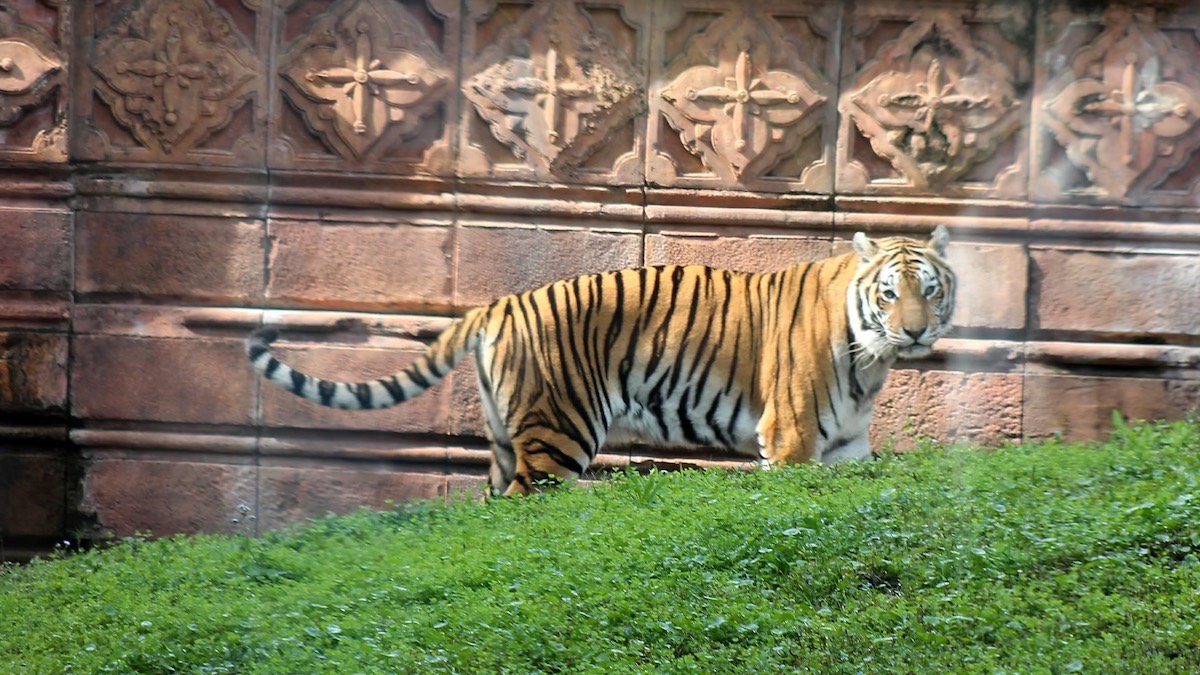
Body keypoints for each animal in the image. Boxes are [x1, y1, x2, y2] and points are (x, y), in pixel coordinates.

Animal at [246, 225, 955, 494]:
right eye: (888, 294)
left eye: (930, 289)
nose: (916, 333)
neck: (870, 361)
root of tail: (498, 305)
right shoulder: (792, 439)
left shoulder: (845, 449)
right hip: (558, 435)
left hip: (505, 440)